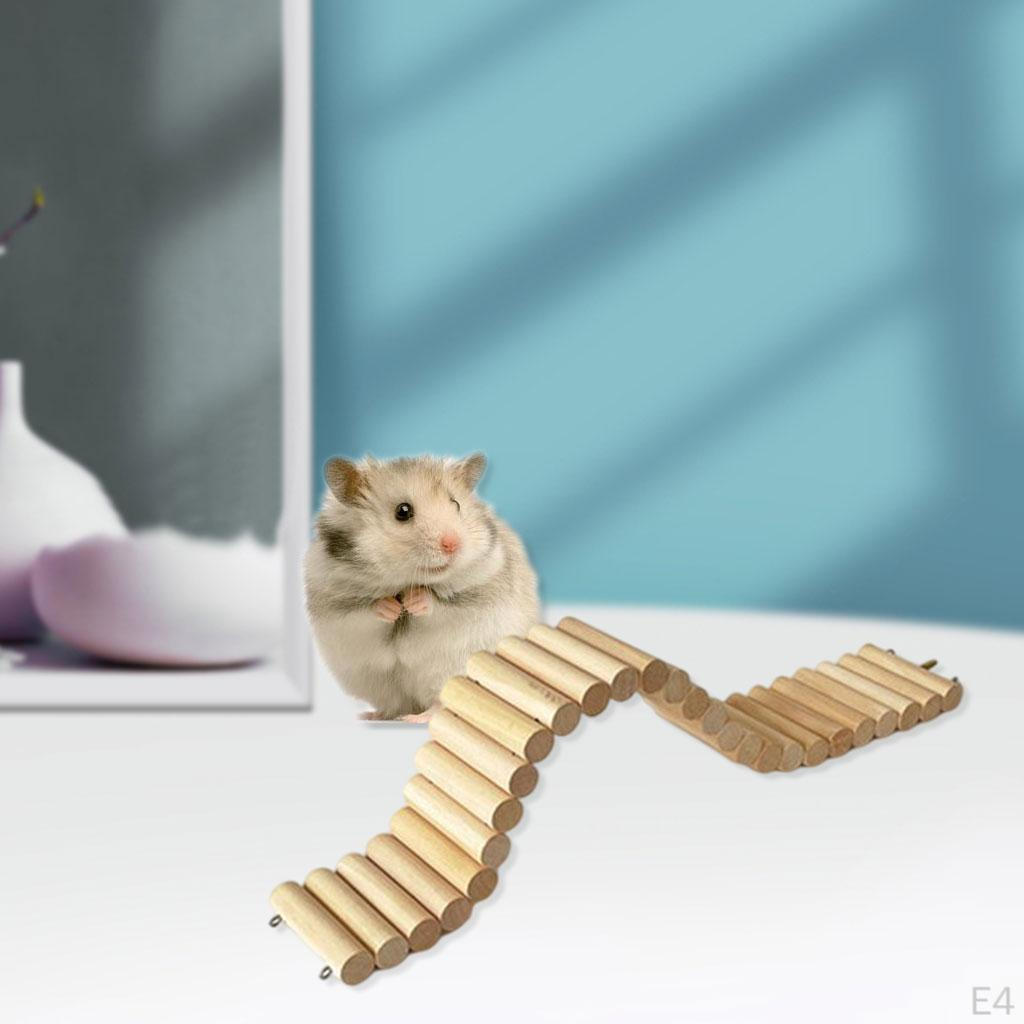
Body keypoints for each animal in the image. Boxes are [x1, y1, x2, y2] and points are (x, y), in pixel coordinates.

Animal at [304, 452, 540, 720]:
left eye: (456, 504)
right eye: (403, 511)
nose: (453, 544)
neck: (405, 581)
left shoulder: (478, 593)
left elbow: (440, 605)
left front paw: (413, 602)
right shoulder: (335, 604)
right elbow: (365, 611)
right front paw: (392, 608)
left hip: (450, 671)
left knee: (440, 702)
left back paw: (417, 718)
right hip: (376, 682)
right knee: (393, 704)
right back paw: (373, 715)